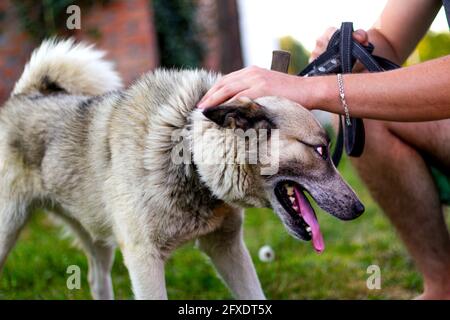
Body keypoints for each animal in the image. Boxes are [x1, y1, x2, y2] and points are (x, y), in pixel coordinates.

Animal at [0, 40, 364, 300]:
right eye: (320, 150)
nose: (360, 208)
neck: (186, 148)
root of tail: (22, 97)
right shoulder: (144, 260)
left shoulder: (226, 247)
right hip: (8, 228)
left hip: (97, 238)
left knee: (97, 280)